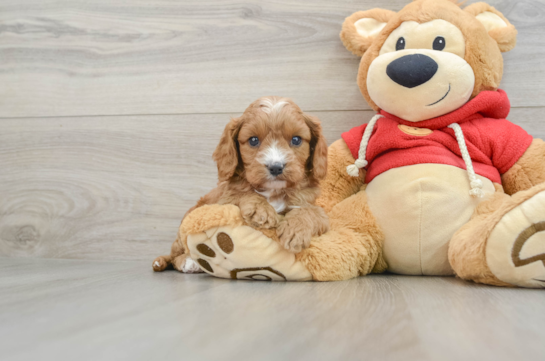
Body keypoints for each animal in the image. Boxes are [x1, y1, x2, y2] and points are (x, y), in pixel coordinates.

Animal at [154, 97, 332, 272]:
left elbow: (312, 212)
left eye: (296, 139)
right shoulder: (223, 201)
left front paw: (296, 231)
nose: (276, 167)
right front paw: (261, 209)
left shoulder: (312, 205)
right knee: (175, 254)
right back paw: (187, 261)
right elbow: (241, 193)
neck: (273, 191)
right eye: (253, 140)